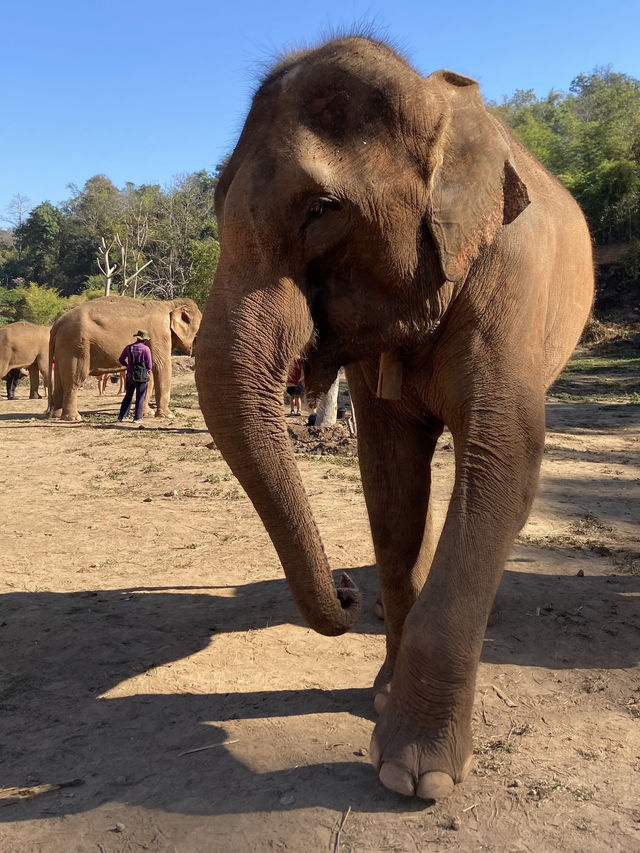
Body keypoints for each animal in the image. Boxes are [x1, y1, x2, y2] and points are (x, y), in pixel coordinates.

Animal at [47, 296, 201, 422]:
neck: (170, 304)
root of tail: (57, 323)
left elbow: (149, 373)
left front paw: (148, 414)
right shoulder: (160, 335)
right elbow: (162, 367)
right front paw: (168, 415)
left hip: (64, 346)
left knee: (60, 379)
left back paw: (57, 415)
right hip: (76, 344)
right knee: (75, 378)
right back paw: (73, 418)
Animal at [195, 36, 596, 804]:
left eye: (322, 208)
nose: (345, 589)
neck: (438, 107)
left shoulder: (514, 282)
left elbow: (503, 463)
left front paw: (414, 773)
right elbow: (390, 479)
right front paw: (381, 696)